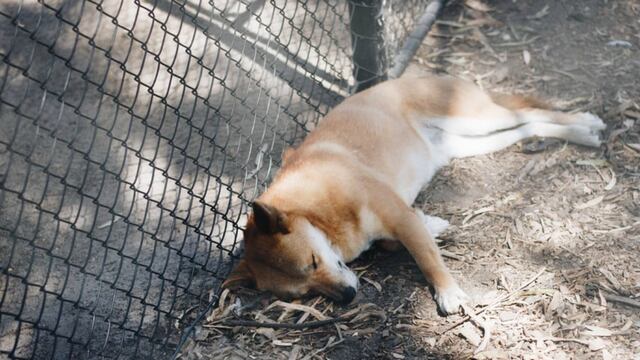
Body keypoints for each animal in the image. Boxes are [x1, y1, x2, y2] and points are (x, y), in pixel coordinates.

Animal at [221, 76, 604, 316]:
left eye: (313, 262)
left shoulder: (397, 216)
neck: (314, 211)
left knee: (530, 113)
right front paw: (432, 224)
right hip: (473, 142)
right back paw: (580, 133)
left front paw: (448, 292)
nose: (347, 297)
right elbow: (398, 241)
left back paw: (586, 124)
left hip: (476, 121)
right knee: (529, 126)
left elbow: (426, 258)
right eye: (304, 292)